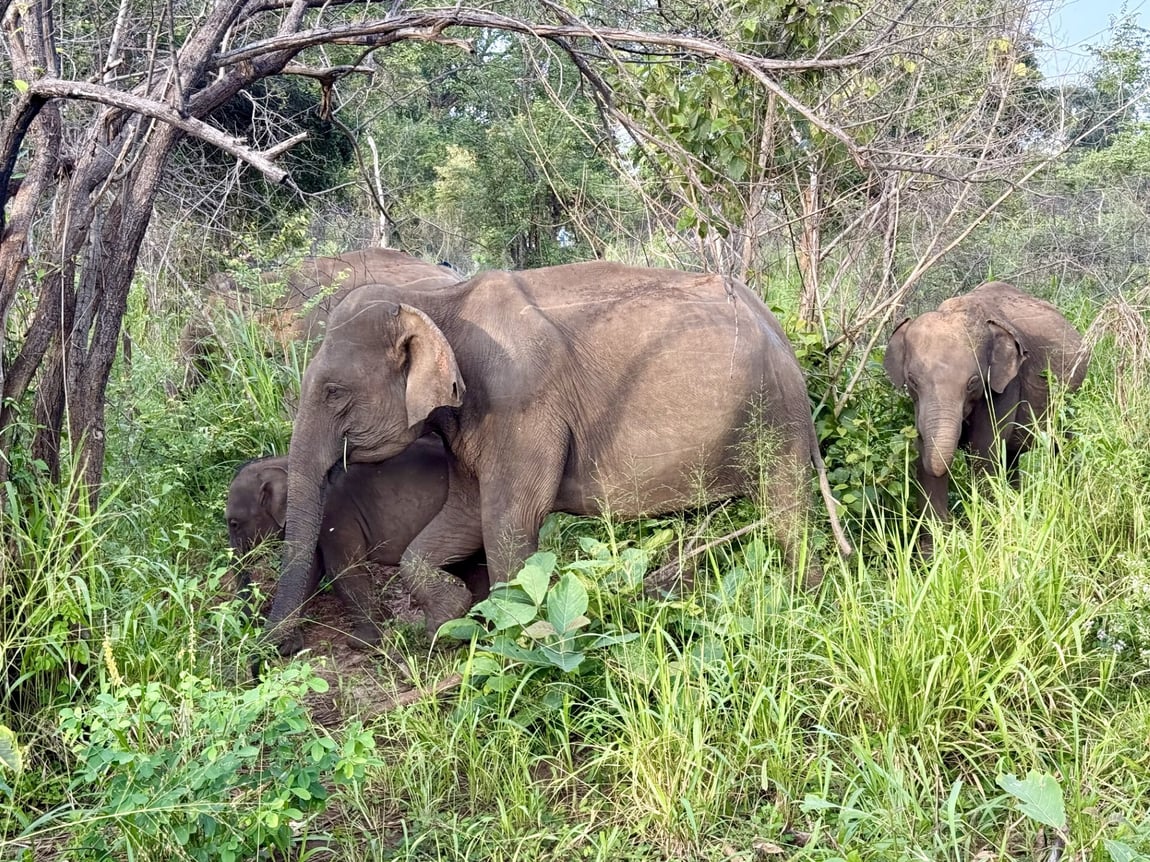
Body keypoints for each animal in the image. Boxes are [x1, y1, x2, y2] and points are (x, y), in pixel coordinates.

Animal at [227, 435, 488, 645]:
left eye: (234, 523)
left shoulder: (335, 514)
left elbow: (342, 569)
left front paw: (361, 642)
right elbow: (311, 571)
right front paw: (288, 646)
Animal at [263, 260, 851, 653]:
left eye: (333, 392)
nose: (275, 653)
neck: (436, 298)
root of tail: (777, 324)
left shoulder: (520, 406)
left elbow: (507, 524)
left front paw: (517, 649)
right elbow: (462, 519)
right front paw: (446, 627)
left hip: (774, 420)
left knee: (787, 516)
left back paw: (805, 607)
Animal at [883, 280, 1089, 550]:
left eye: (972, 382)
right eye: (912, 381)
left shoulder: (1005, 385)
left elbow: (984, 455)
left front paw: (987, 544)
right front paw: (935, 556)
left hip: (1068, 398)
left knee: (1061, 444)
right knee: (1011, 458)